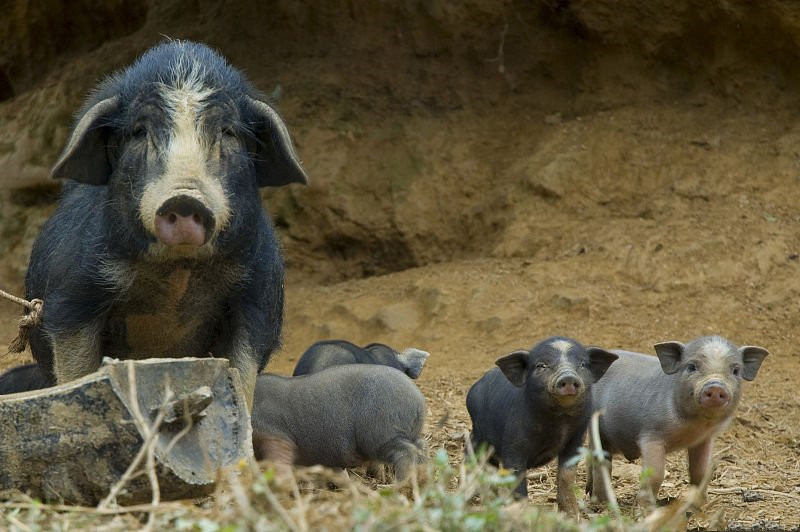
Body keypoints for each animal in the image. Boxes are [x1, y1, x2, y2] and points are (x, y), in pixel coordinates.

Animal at [22, 40, 306, 408]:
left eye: (228, 132)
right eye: (139, 132)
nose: (184, 199)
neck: (176, 274)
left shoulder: (258, 295)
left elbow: (243, 375)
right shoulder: (72, 296)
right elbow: (76, 369)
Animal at [252, 364, 428, 480]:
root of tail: (418, 399)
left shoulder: (274, 435)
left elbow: (279, 459)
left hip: (382, 434)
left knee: (407, 452)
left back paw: (399, 485)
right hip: (407, 433)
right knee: (421, 447)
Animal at [466, 336, 616, 516]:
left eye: (582, 364)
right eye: (541, 365)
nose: (568, 377)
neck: (559, 421)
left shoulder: (576, 438)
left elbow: (566, 477)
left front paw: (572, 516)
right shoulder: (513, 444)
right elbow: (517, 482)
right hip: (478, 435)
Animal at [588, 336, 768, 502]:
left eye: (736, 371)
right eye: (692, 367)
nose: (716, 386)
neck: (694, 425)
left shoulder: (704, 440)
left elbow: (700, 472)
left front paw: (700, 506)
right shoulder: (651, 435)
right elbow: (655, 474)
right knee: (601, 463)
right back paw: (602, 502)